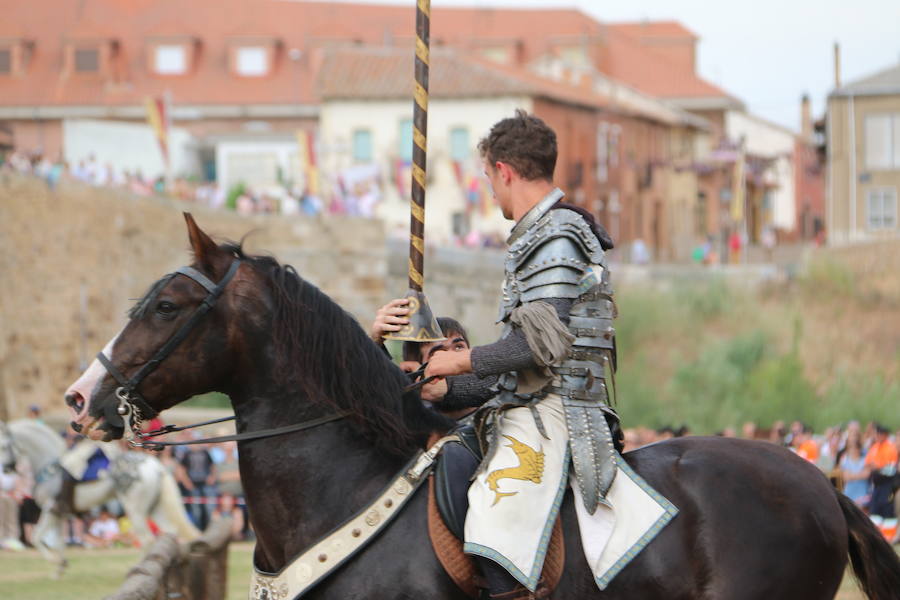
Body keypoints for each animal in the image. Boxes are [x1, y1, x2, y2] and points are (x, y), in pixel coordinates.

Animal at [0, 418, 199, 576]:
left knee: (147, 540)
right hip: (155, 508)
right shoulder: (59, 513)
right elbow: (57, 541)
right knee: (171, 534)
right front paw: (60, 568)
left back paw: (139, 568)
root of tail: (155, 467)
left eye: (3, 446)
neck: (51, 467)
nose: (6, 469)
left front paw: (57, 562)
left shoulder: (51, 508)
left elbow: (37, 537)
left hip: (135, 510)